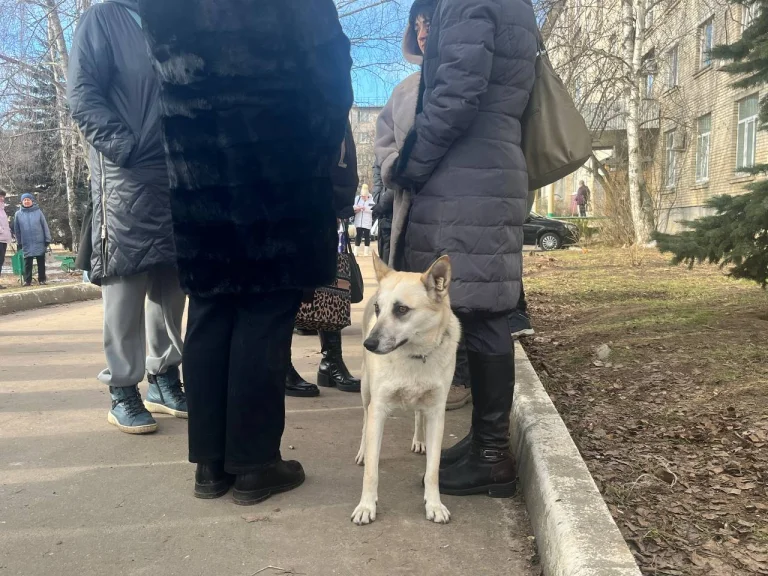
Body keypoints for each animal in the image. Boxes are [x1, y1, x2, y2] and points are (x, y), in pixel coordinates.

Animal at [351, 253, 461, 525]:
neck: (415, 354)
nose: (369, 344)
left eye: (401, 309)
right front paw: (366, 506)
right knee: (365, 420)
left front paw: (434, 505)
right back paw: (363, 451)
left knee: (417, 414)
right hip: (366, 391)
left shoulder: (436, 412)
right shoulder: (379, 408)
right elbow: (372, 472)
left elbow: (432, 470)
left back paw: (419, 440)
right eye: (378, 309)